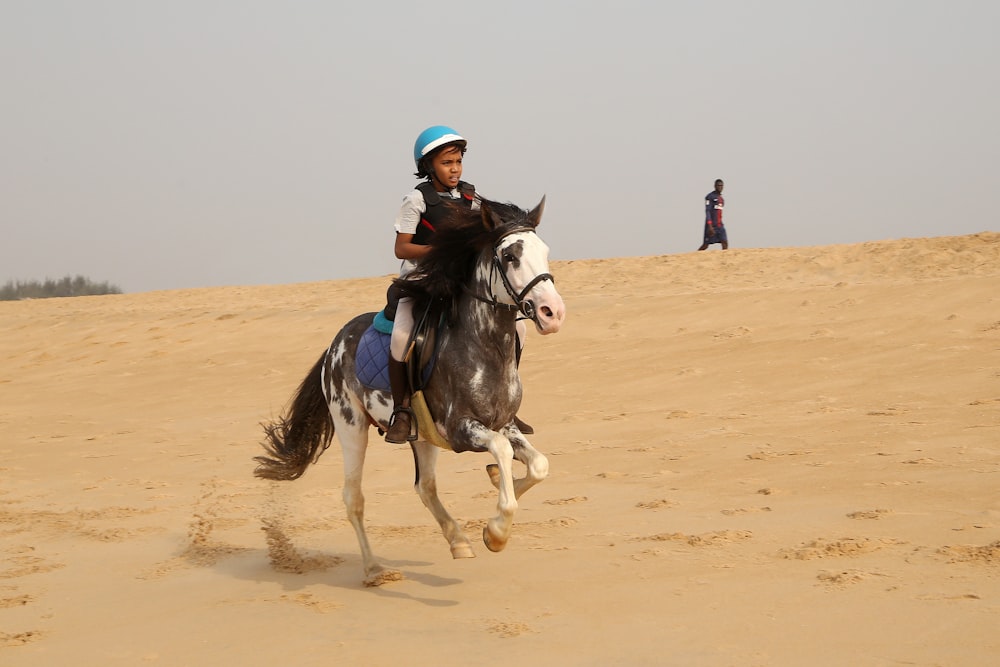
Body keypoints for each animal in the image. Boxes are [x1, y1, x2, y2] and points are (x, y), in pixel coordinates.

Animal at [254, 196, 568, 588]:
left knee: (425, 487)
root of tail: (335, 343)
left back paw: (458, 540)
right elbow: (503, 451)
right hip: (351, 425)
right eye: (510, 256)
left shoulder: (504, 422)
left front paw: (495, 485)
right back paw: (375, 570)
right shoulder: (462, 429)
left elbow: (537, 465)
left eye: (545, 251)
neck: (483, 345)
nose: (553, 312)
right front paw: (496, 532)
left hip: (422, 434)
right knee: (353, 497)